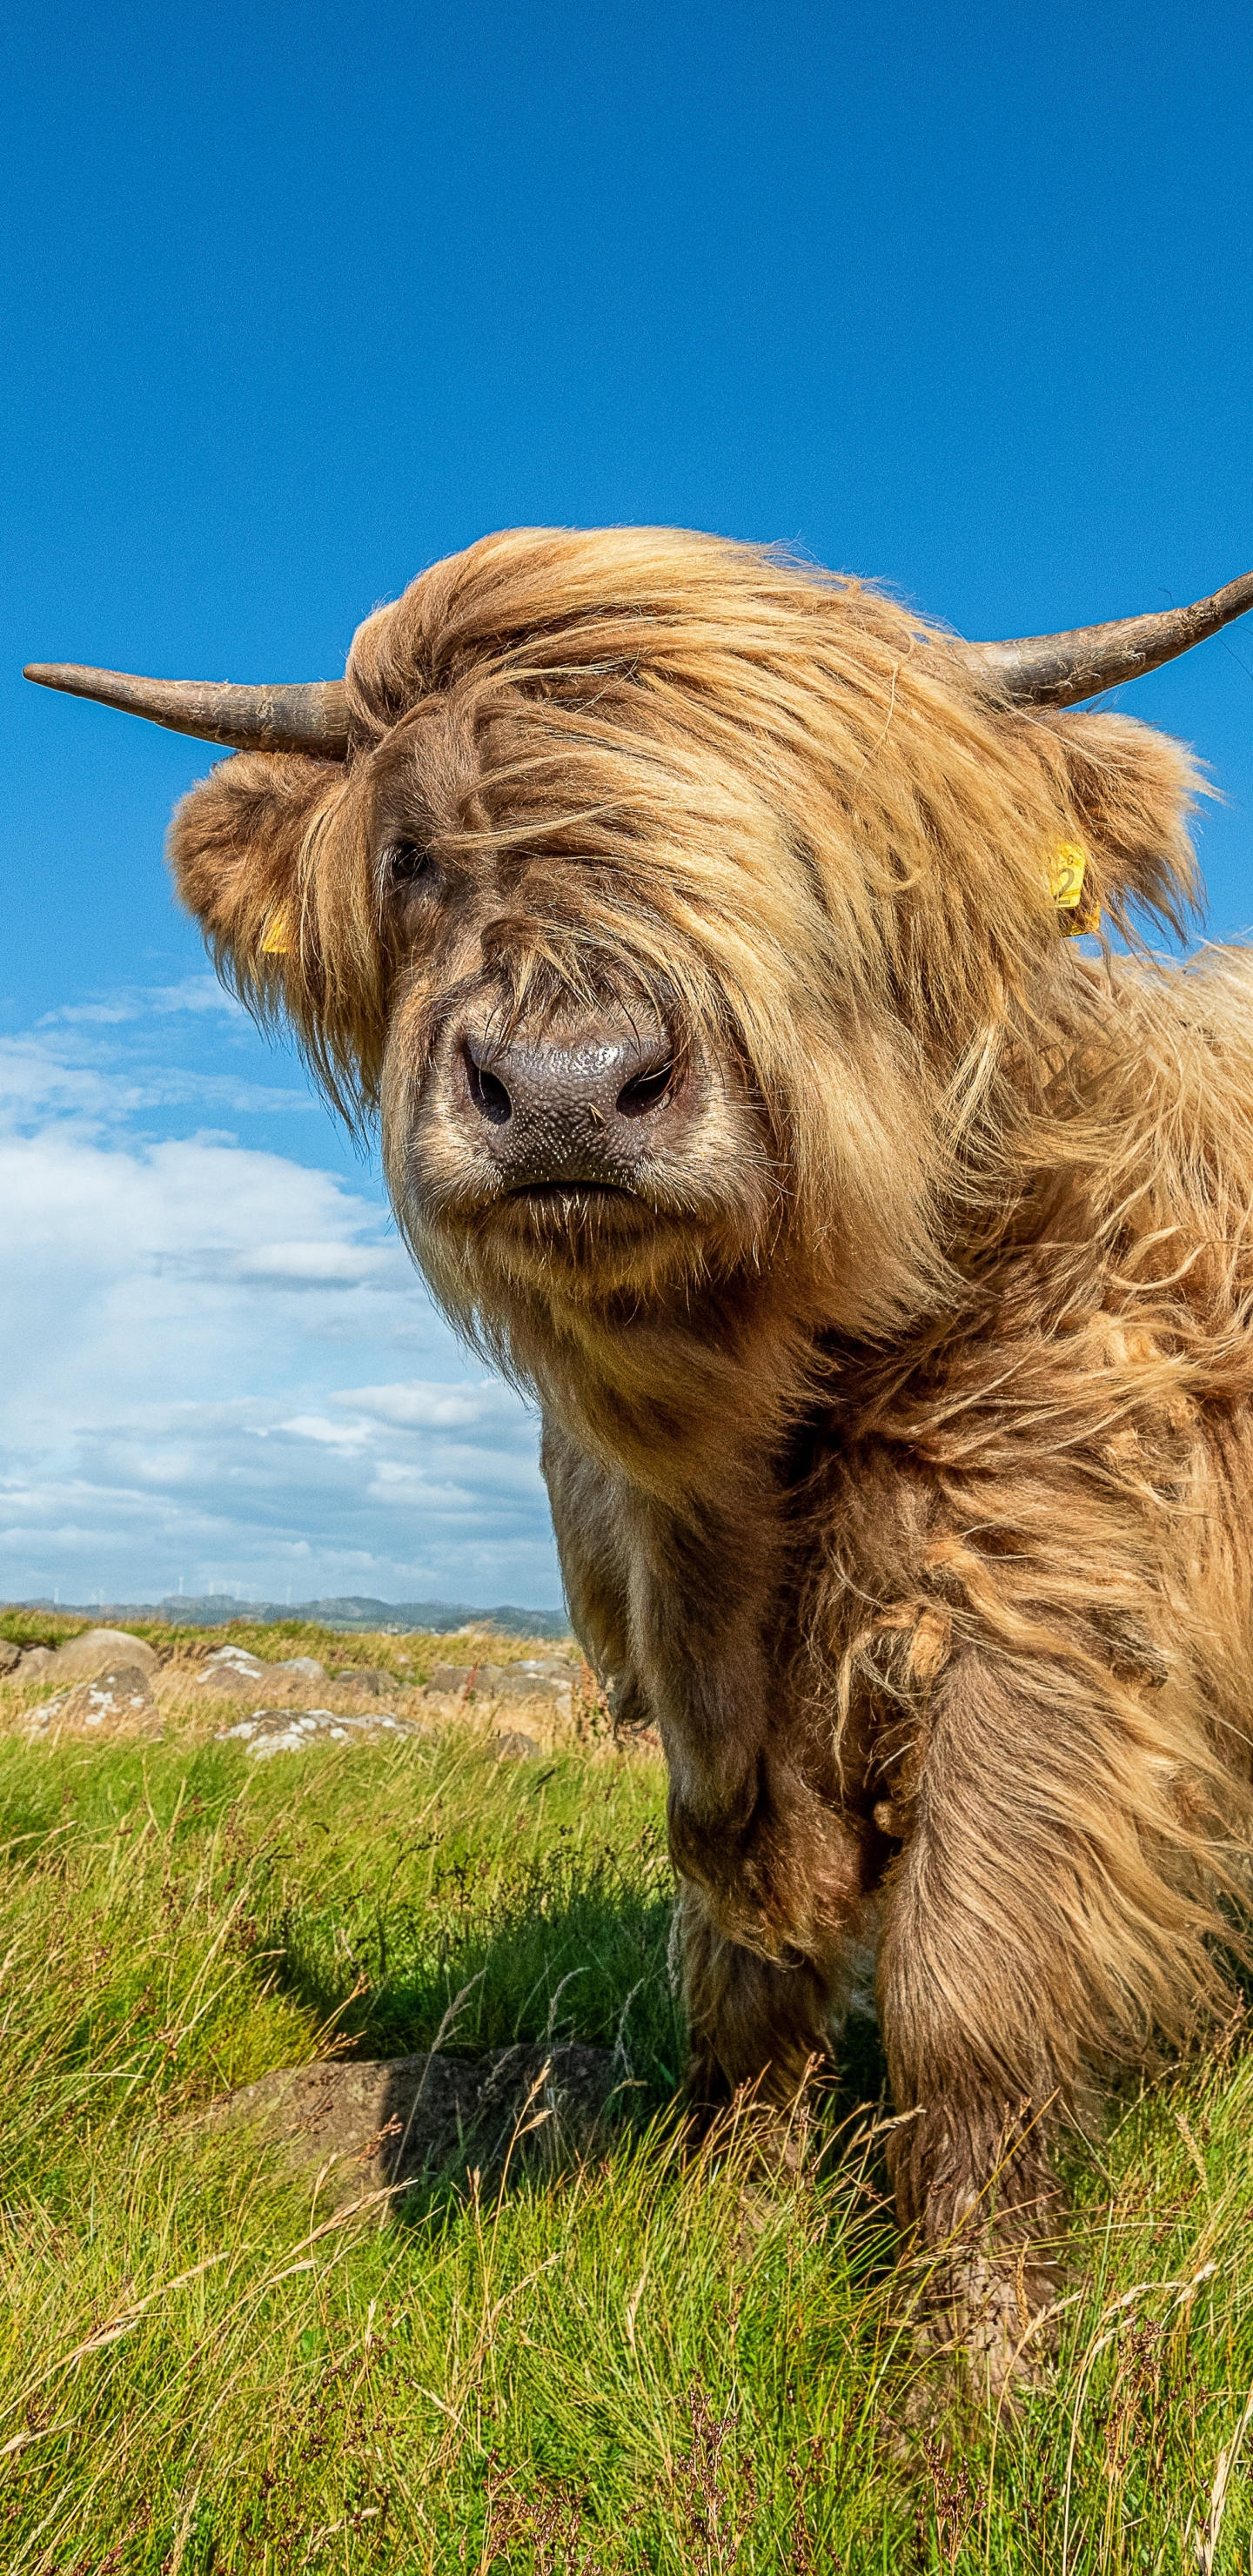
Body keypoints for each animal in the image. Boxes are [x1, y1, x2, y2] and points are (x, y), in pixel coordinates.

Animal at [24, 527, 1253, 2390]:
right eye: (412, 853)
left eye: (833, 856)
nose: (564, 1091)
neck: (770, 1423)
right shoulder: (698, 1669)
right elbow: (744, 1962)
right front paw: (725, 2238)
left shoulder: (1052, 1612)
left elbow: (971, 1998)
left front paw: (980, 2376)